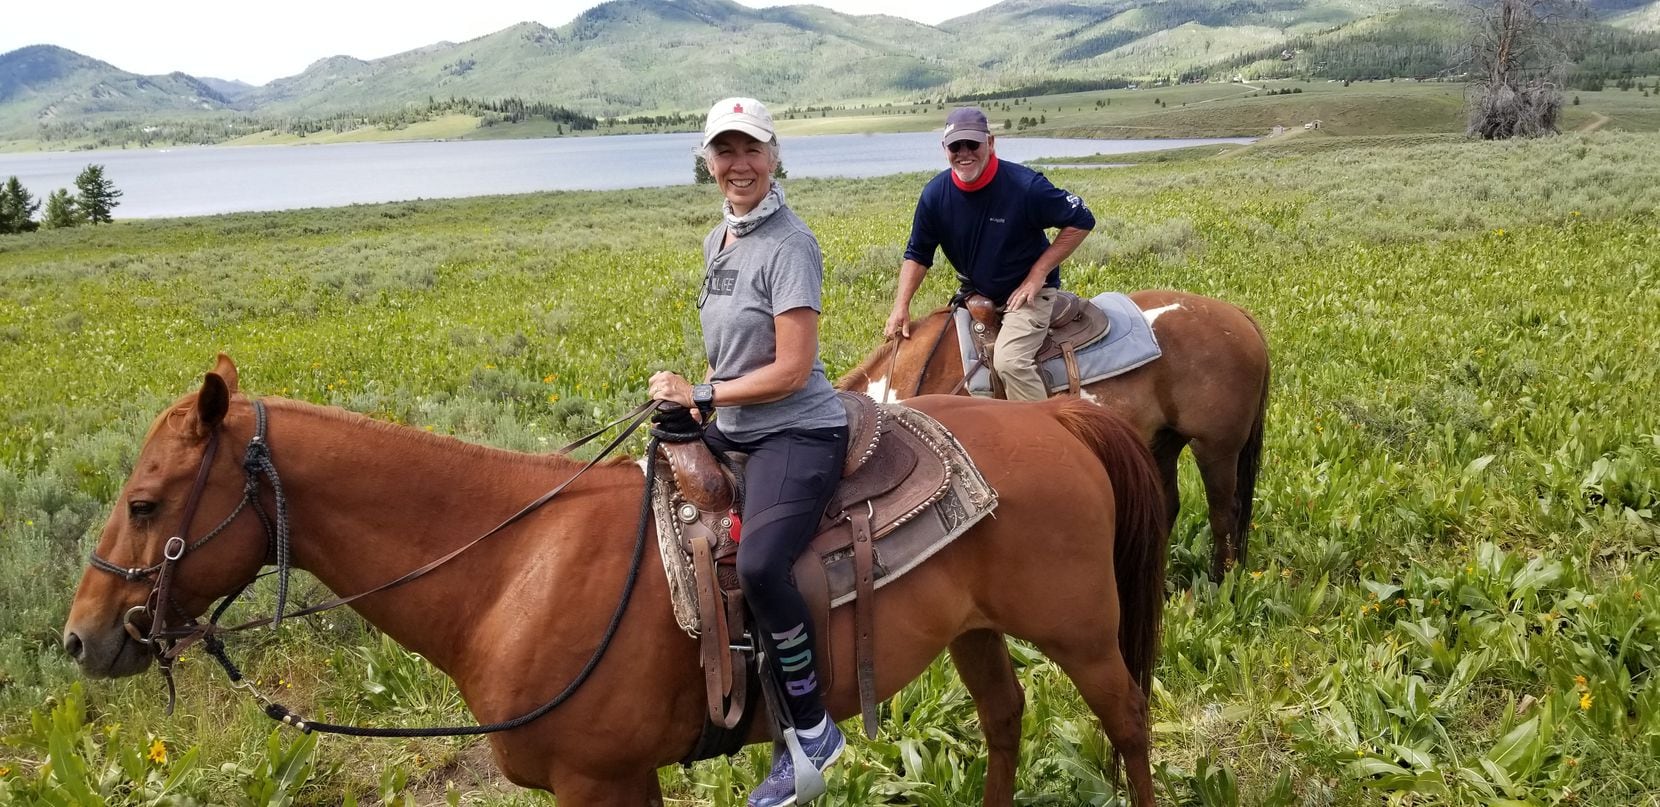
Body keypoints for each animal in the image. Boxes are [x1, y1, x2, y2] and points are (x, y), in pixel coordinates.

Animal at [64, 357, 1168, 803]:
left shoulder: (601, 781)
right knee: (1004, 717)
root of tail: (1054, 414)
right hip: (975, 628)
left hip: (1081, 631)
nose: (83, 635)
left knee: (1126, 719)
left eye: (148, 502)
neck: (509, 569)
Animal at [843, 290, 1268, 581]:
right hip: (1163, 444)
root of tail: (1238, 316)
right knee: (1168, 507)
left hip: (1215, 448)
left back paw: (1219, 584)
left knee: (1224, 513)